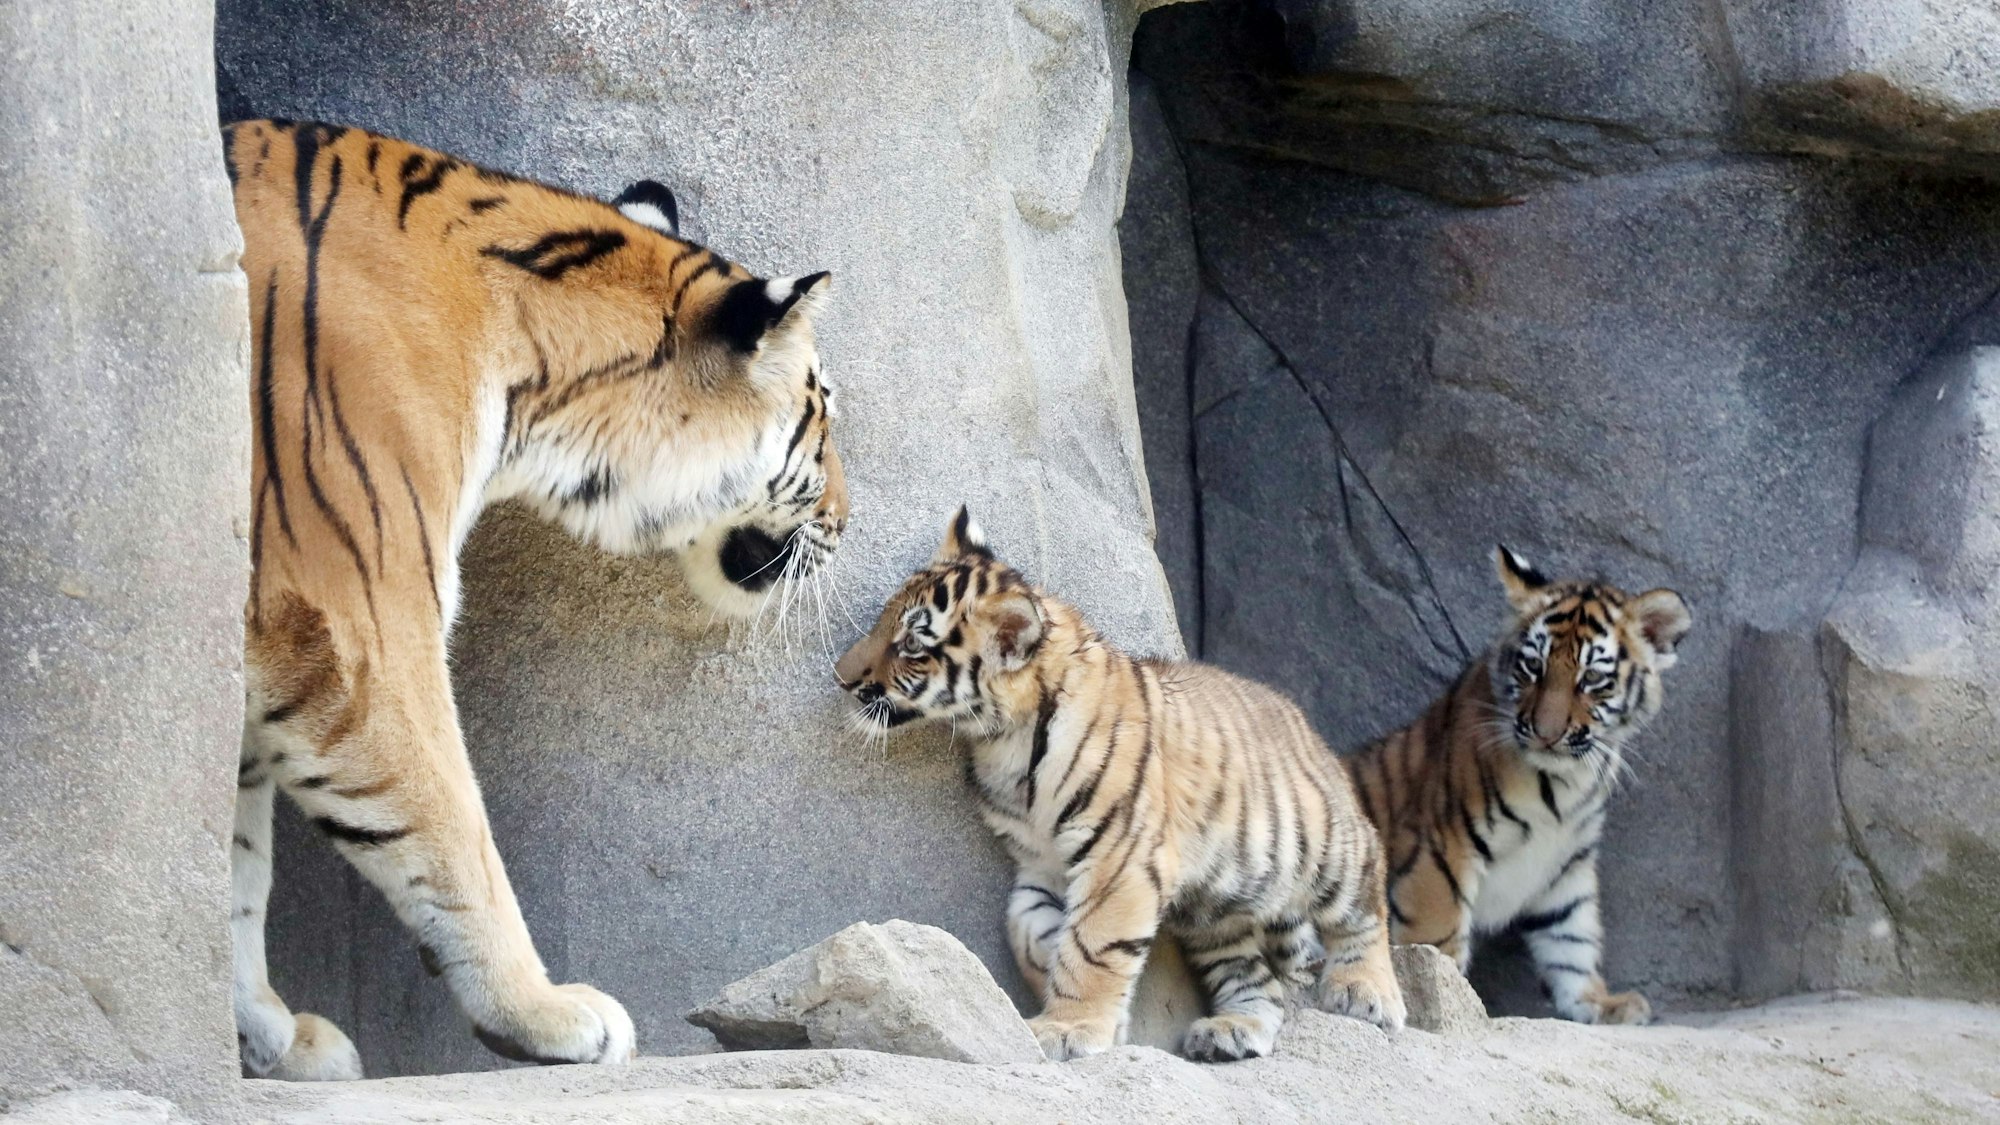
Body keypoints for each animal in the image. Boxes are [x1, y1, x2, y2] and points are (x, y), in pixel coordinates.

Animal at [223, 119, 846, 1080]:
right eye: (824, 421)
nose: (850, 523)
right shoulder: (357, 618)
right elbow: (452, 829)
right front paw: (545, 1012)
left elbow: (234, 863)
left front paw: (270, 1035)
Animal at [834, 509, 1405, 1063]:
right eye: (883, 620)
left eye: (911, 644)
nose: (840, 676)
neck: (1005, 737)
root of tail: (1302, 721)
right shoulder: (1041, 859)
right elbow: (1025, 925)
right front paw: (1069, 983)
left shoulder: (1118, 854)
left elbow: (1094, 943)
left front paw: (1068, 1027)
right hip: (1213, 908)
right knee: (1254, 978)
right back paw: (1233, 1031)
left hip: (1322, 847)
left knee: (1367, 896)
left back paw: (1367, 992)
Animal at [1343, 546, 1692, 1025]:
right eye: (1533, 666)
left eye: (1591, 679)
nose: (1546, 733)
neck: (1565, 782)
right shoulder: (1439, 849)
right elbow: (1435, 940)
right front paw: (1447, 1000)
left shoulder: (1566, 863)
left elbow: (1573, 939)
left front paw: (1600, 1002)